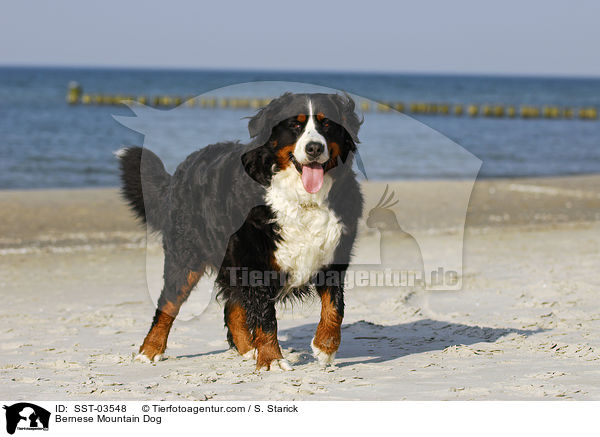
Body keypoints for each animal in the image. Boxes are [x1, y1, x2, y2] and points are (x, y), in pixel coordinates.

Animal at [116, 92, 360, 368]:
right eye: (295, 126)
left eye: (327, 124)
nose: (315, 148)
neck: (303, 200)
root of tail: (184, 167)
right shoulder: (255, 263)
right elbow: (266, 318)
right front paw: (272, 360)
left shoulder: (334, 256)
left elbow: (335, 306)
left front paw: (325, 346)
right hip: (186, 258)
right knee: (168, 304)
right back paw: (149, 349)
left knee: (232, 309)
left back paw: (247, 349)